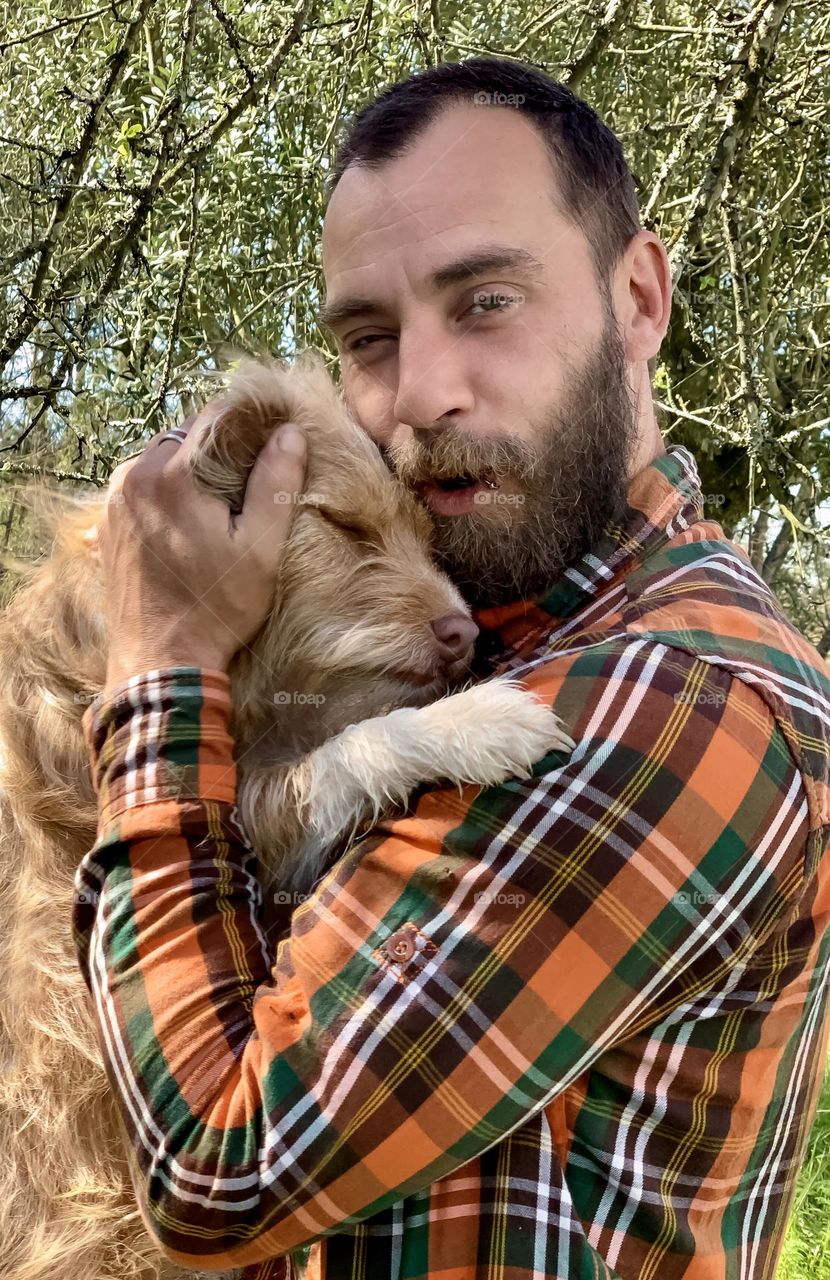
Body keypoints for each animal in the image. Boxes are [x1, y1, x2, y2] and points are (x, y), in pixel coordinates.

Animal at [0, 350, 571, 1280]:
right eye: (343, 524)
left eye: (429, 535)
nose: (467, 638)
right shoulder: (241, 821)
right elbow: (346, 752)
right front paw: (474, 721)